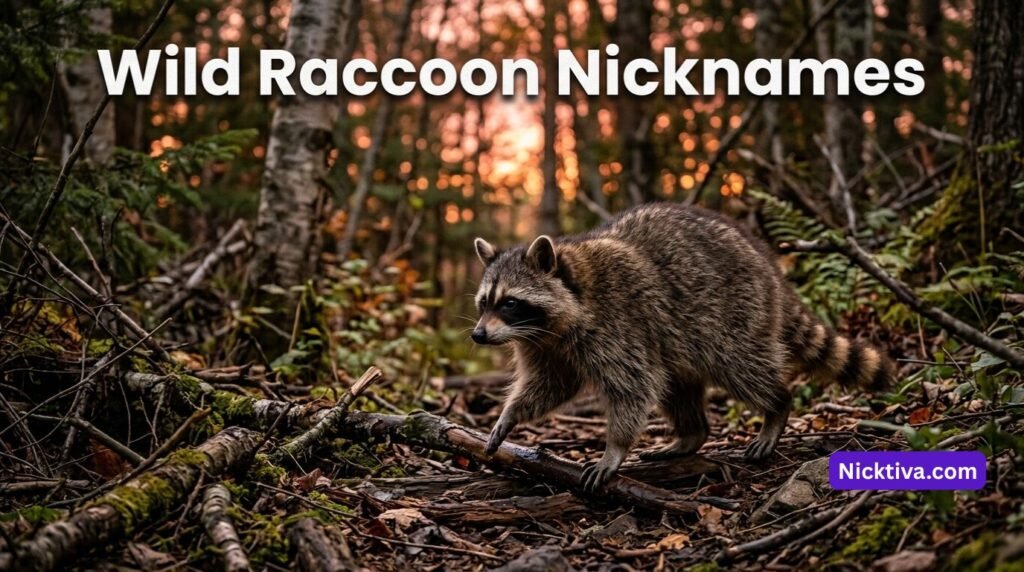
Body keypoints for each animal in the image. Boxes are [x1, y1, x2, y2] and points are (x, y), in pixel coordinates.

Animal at [471, 203, 895, 491]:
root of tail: (770, 269)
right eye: (483, 303)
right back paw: (693, 432)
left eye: (510, 303)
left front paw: (615, 447)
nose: (477, 335)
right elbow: (551, 385)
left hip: (735, 313)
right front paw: (511, 413)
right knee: (677, 386)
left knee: (741, 367)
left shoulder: (617, 324)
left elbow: (632, 387)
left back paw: (776, 406)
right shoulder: (546, 346)